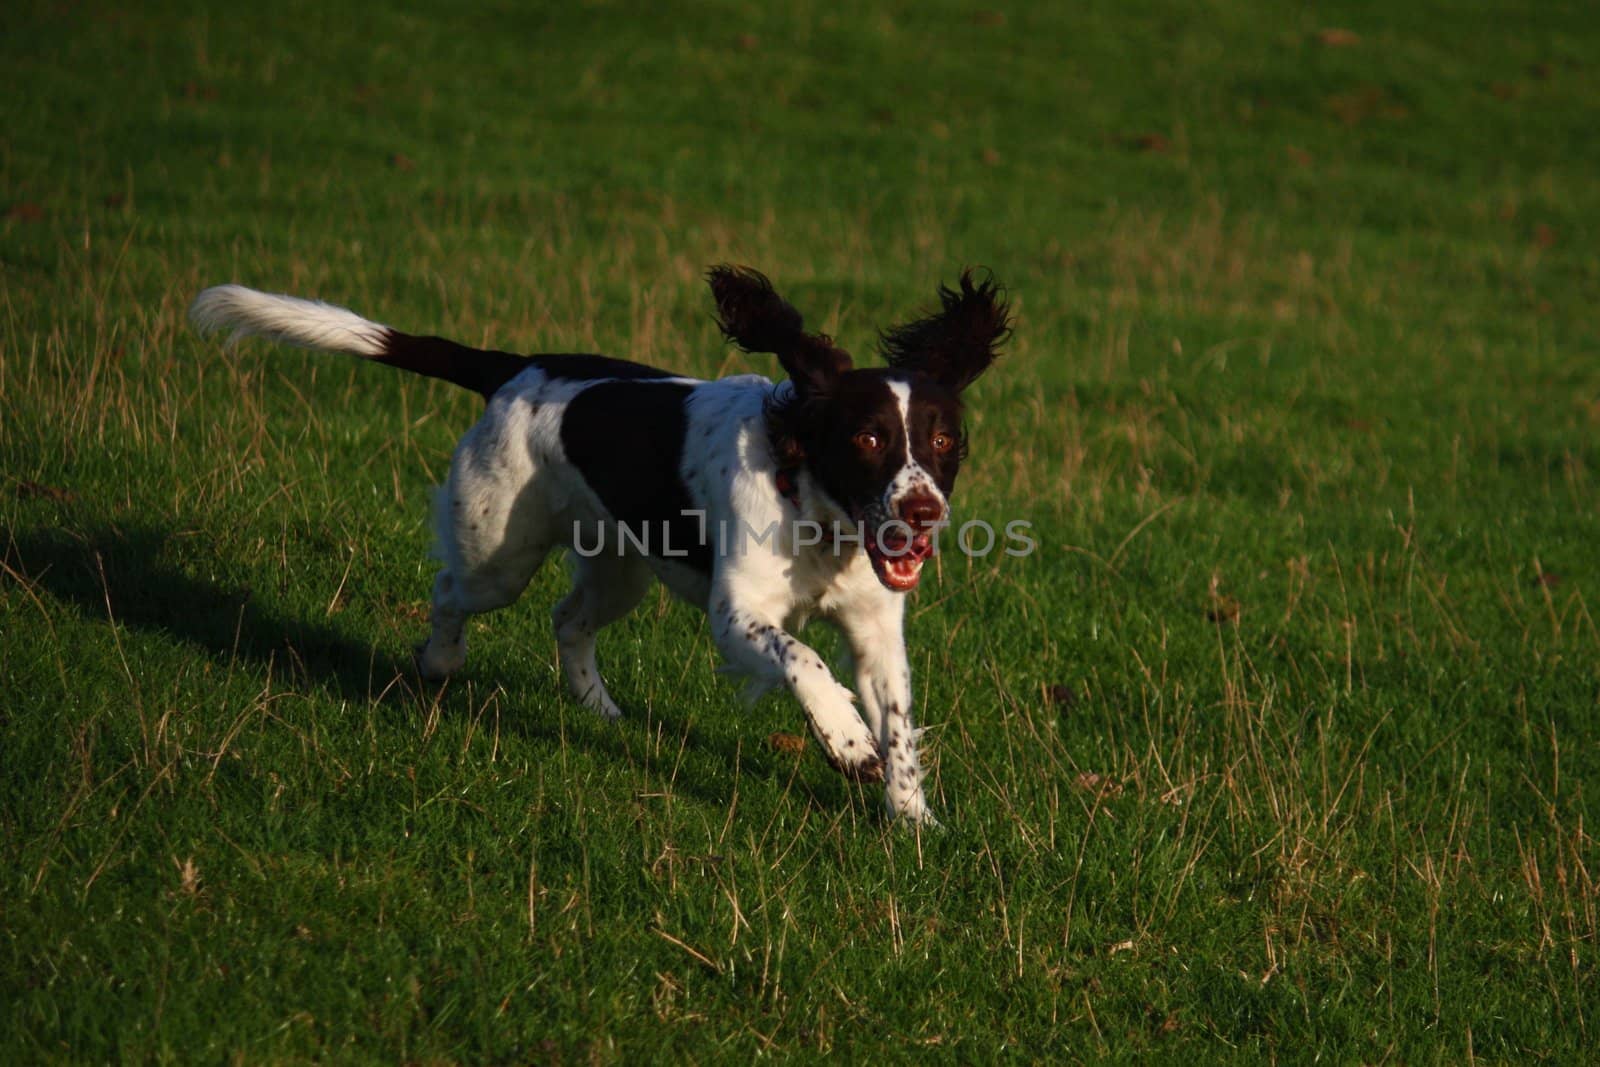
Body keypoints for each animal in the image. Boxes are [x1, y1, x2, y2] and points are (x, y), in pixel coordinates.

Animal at [190, 268, 1011, 825]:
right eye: (868, 437)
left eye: (944, 441)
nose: (923, 510)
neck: (819, 509)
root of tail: (514, 364)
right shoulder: (737, 614)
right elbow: (802, 659)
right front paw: (845, 741)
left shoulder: (875, 629)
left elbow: (898, 722)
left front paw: (913, 821)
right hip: (500, 549)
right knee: (454, 592)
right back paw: (439, 662)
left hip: (622, 568)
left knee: (568, 618)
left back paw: (598, 707)